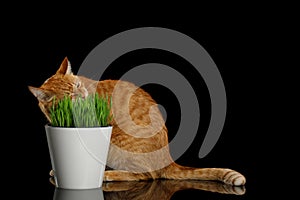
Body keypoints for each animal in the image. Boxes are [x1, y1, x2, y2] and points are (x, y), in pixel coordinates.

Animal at [28, 57, 246, 185]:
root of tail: (167, 159)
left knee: (145, 175)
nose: (83, 95)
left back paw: (108, 175)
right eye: (71, 96)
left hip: (119, 143)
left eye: (79, 85)